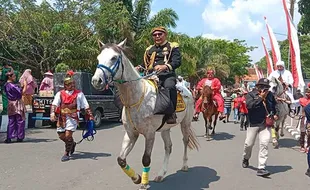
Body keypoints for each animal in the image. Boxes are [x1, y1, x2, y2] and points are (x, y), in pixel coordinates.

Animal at [91, 39, 200, 189]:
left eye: (113, 58)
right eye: (98, 58)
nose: (96, 81)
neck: (136, 98)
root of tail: (186, 89)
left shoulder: (149, 134)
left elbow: (146, 159)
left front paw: (143, 182)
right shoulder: (131, 134)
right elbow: (121, 160)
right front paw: (136, 178)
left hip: (185, 123)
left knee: (185, 141)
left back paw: (184, 165)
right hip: (165, 129)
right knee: (168, 147)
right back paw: (161, 174)